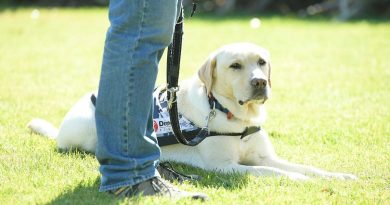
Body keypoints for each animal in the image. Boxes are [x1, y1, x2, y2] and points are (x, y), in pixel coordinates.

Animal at [27, 42, 356, 179]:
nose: (260, 82)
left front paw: (338, 177)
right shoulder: (224, 167)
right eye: (235, 66)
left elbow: (305, 167)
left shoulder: (265, 156)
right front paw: (300, 181)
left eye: (261, 62)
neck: (238, 117)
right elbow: (269, 172)